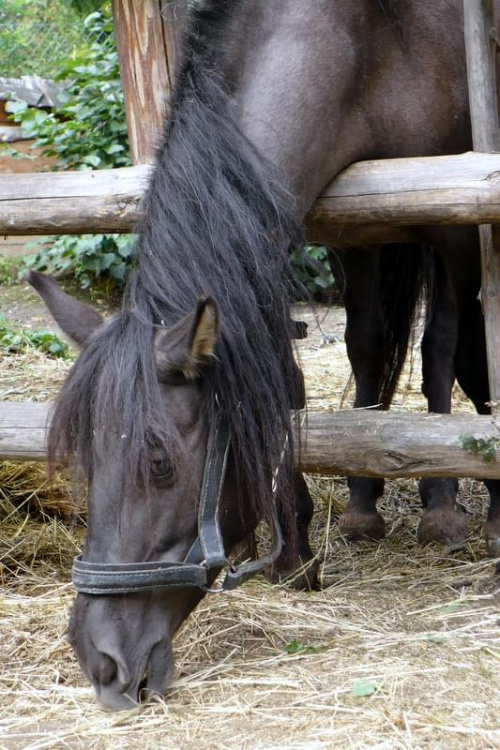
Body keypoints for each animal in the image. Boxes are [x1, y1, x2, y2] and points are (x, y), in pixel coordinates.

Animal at [28, 1, 500, 712]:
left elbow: (443, 345)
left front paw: (444, 507)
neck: (362, 45)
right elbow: (305, 365)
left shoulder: (454, 221)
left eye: (161, 465)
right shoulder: (331, 232)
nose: (100, 660)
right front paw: (300, 541)